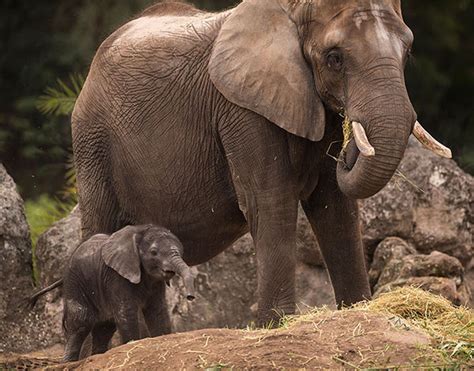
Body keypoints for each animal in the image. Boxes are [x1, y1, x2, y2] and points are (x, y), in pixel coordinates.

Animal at [72, 0, 450, 326]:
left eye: (408, 51)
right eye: (335, 58)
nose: (347, 148)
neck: (291, 11)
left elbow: (336, 208)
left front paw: (359, 310)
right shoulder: (242, 109)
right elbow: (270, 201)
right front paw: (276, 325)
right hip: (92, 142)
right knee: (100, 227)